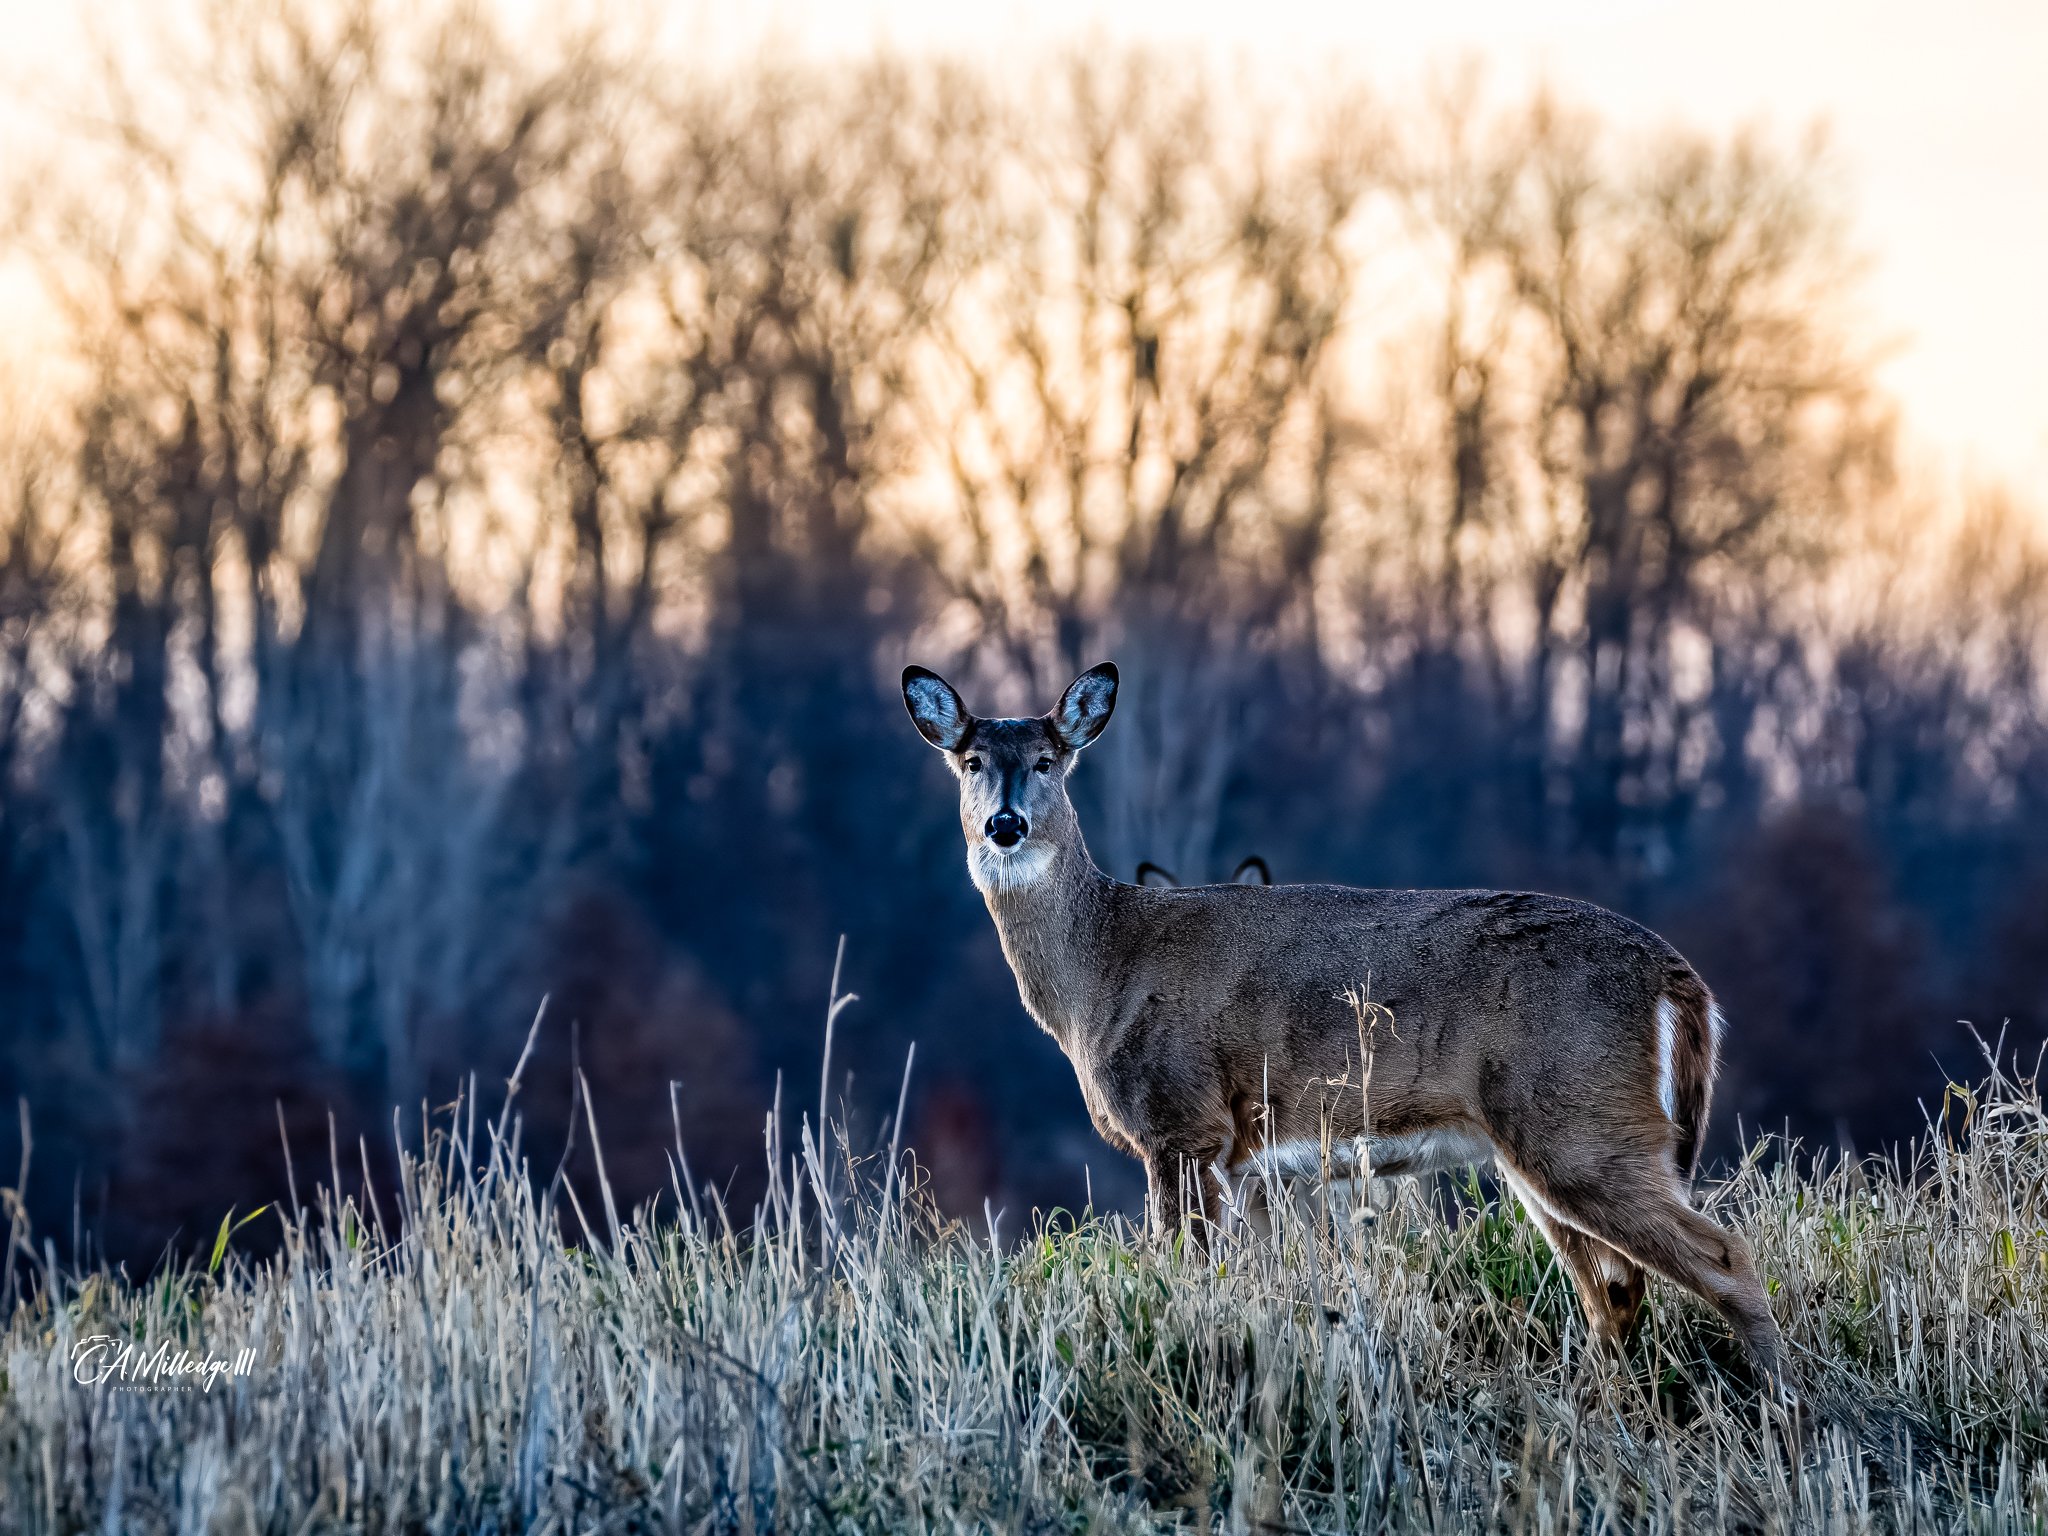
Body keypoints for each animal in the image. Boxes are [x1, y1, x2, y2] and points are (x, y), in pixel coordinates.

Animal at [902, 660, 1785, 1382]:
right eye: (972, 762)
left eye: (1047, 762)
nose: (1005, 824)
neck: (1102, 972)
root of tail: (1679, 980)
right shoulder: (1247, 1160)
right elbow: (1257, 1279)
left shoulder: (1181, 1122)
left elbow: (1187, 1274)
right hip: (1554, 1143)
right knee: (1614, 1291)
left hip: (1581, 1122)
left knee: (1723, 1258)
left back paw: (1784, 1409)